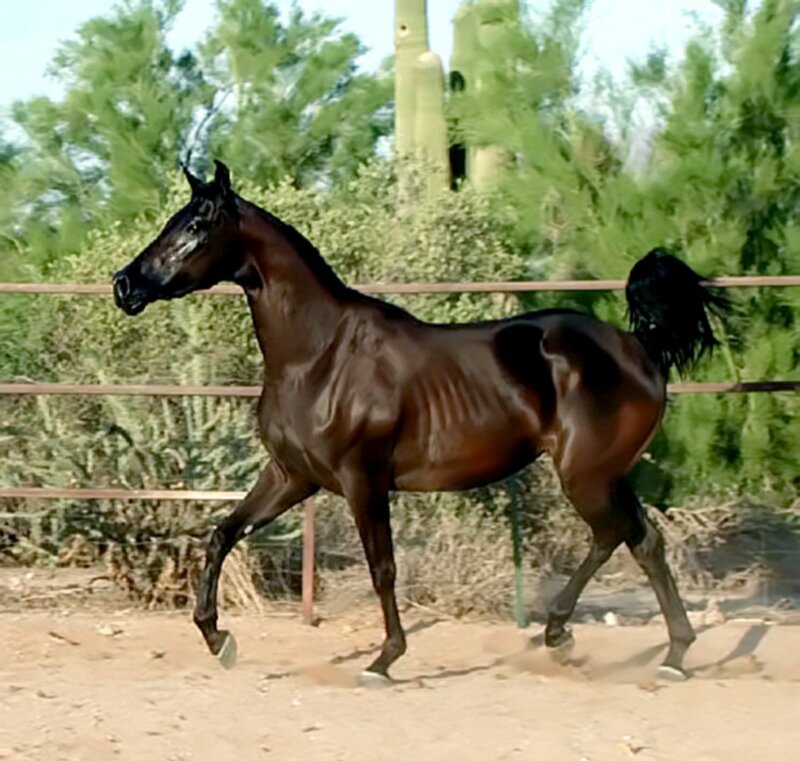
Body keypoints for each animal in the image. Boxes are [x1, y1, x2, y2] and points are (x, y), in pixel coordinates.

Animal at [113, 160, 728, 684]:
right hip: (606, 473)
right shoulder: (292, 475)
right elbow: (222, 534)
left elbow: (382, 568)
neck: (319, 355)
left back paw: (568, 636)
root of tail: (640, 347)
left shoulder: (362, 481)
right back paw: (667, 654)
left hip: (586, 474)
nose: (125, 285)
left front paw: (384, 660)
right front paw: (219, 640)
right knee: (643, 542)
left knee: (614, 536)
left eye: (195, 225)